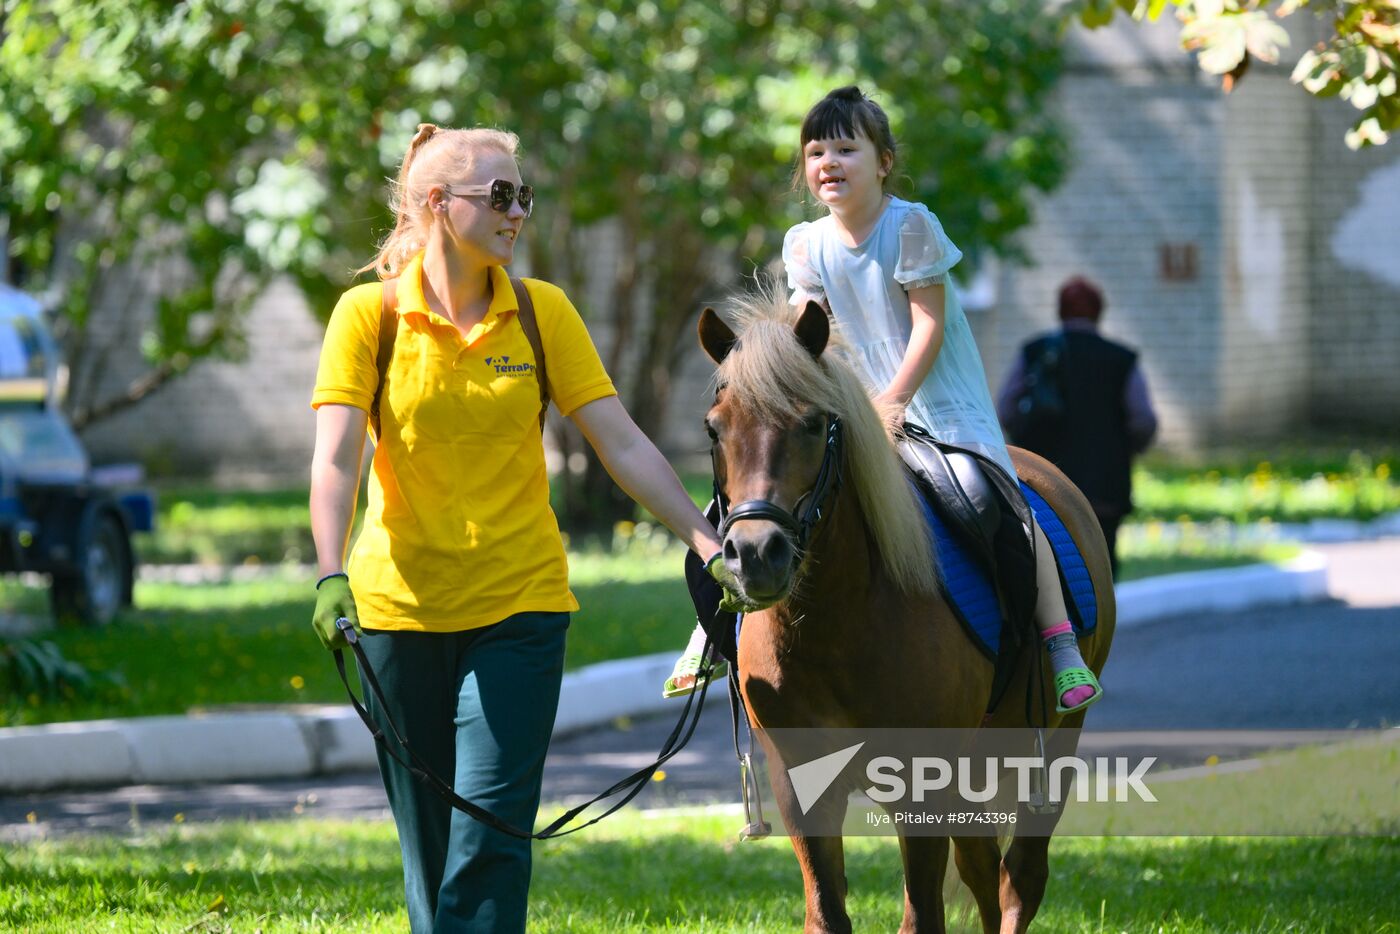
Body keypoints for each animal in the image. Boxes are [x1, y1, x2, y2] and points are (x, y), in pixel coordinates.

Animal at [700, 294, 1114, 934]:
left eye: (813, 423)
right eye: (714, 428)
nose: (755, 554)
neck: (836, 623)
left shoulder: (921, 787)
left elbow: (923, 915)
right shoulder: (800, 785)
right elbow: (828, 913)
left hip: (1057, 742)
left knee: (1020, 878)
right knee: (983, 868)